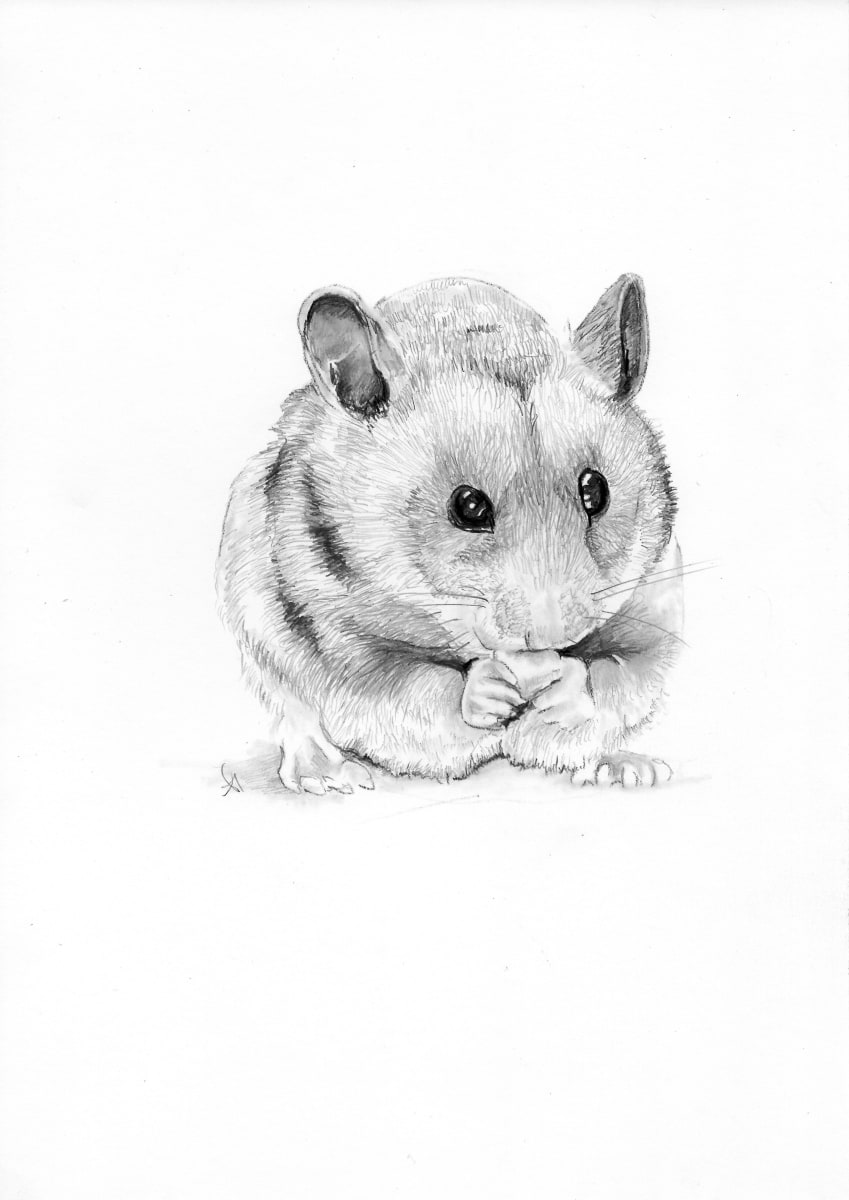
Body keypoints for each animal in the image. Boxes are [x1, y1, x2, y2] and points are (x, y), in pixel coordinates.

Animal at [216, 275, 683, 792]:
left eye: (595, 490)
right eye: (469, 506)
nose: (550, 635)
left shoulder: (656, 601)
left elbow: (622, 671)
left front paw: (563, 690)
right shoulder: (333, 632)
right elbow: (410, 685)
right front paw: (487, 690)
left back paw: (631, 770)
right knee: (294, 714)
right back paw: (331, 777)